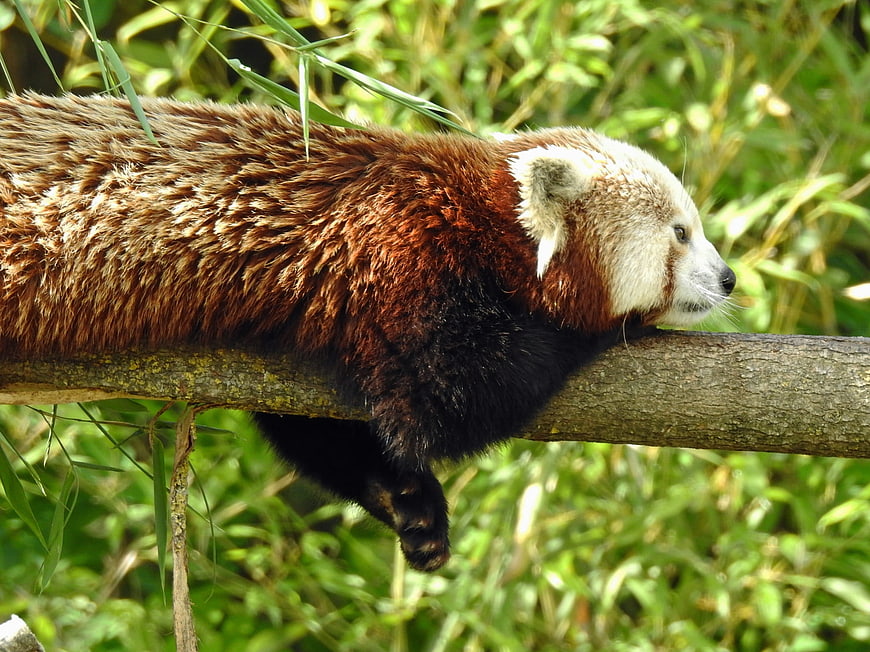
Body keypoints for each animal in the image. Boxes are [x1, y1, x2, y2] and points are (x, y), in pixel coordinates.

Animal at [0, 93, 735, 571]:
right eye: (680, 233)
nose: (728, 279)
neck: (481, 218)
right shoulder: (401, 254)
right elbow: (449, 396)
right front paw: (602, 327)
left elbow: (314, 427)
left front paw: (414, 509)